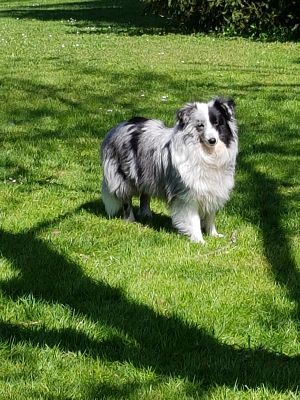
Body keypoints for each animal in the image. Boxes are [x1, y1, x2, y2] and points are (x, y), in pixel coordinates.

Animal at [101, 97, 239, 244]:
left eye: (217, 123)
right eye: (200, 125)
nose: (212, 140)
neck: (207, 154)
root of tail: (119, 126)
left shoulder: (213, 189)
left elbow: (210, 216)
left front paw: (213, 234)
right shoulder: (187, 195)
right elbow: (194, 220)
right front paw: (199, 240)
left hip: (146, 174)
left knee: (145, 195)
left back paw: (146, 214)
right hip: (123, 178)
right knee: (127, 200)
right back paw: (130, 220)